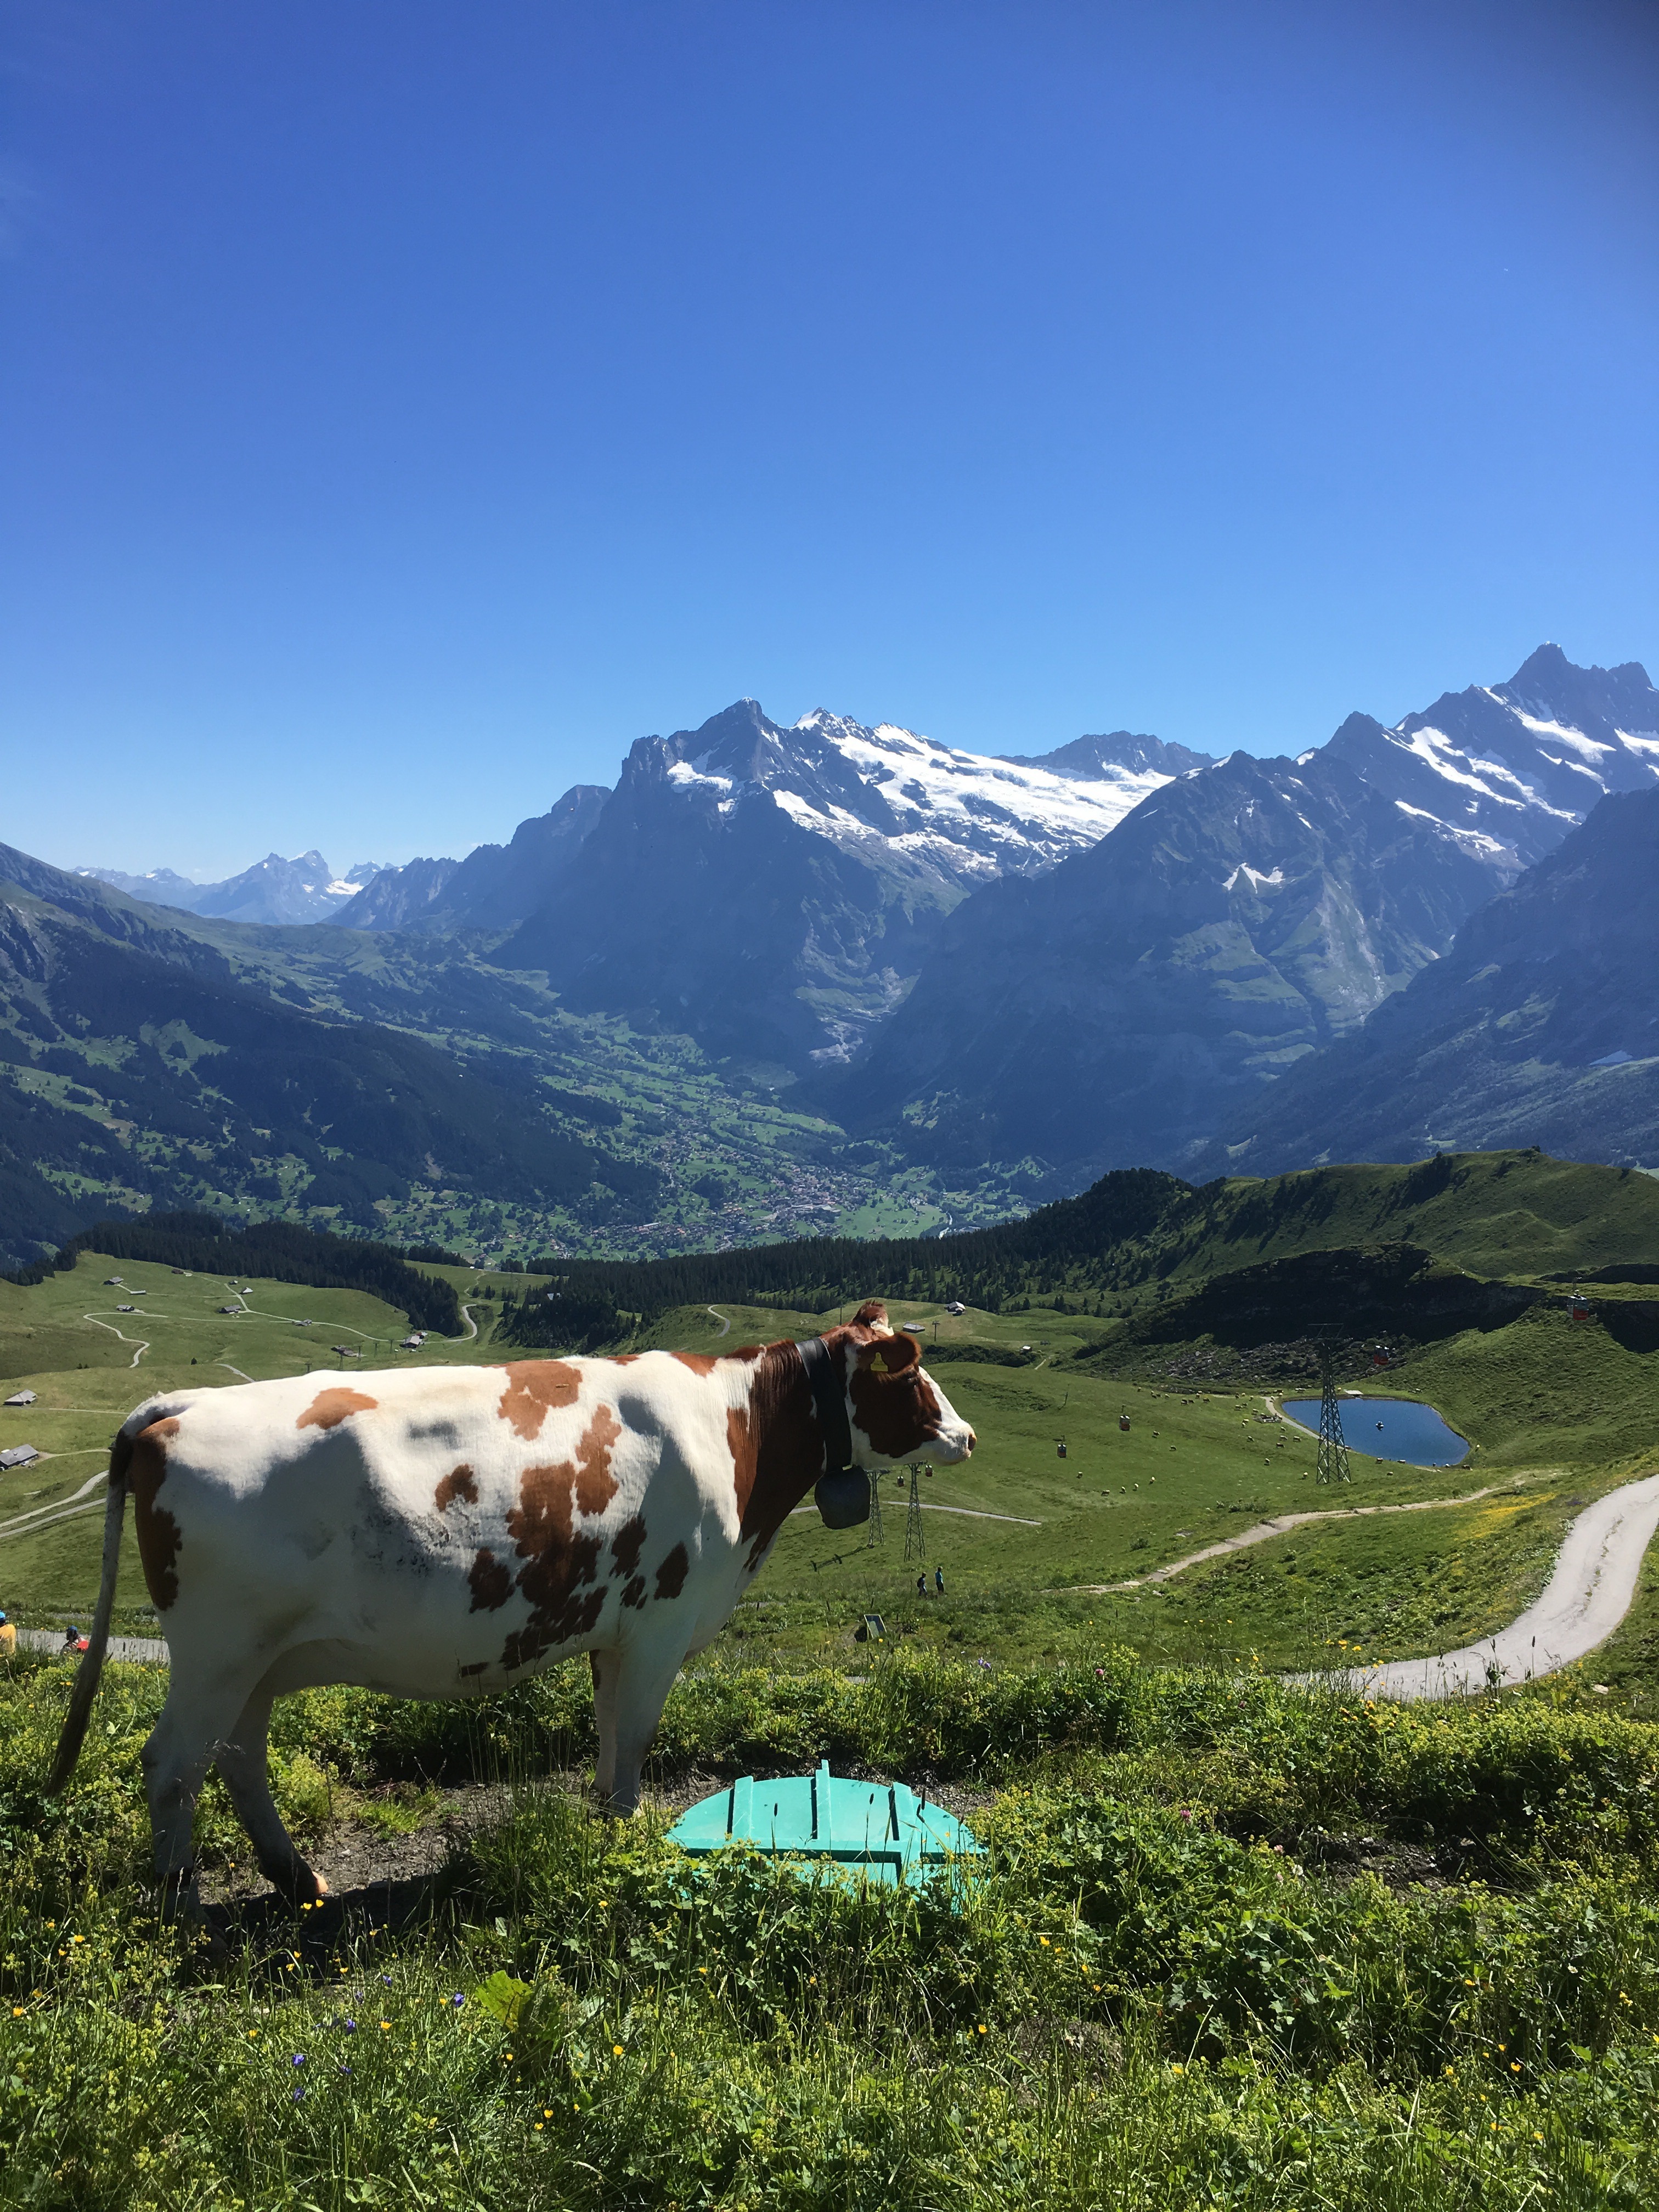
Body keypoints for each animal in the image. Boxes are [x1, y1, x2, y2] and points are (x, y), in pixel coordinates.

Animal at [45, 1291, 973, 1920]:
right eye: (914, 1377)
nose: (965, 1436)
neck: (739, 1434)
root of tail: (180, 1407)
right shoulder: (660, 1624)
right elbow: (635, 1740)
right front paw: (625, 1840)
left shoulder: (615, 1629)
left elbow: (610, 1735)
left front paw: (603, 1826)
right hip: (217, 1650)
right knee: (173, 1766)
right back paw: (183, 1909)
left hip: (258, 1659)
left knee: (238, 1757)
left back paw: (297, 1877)